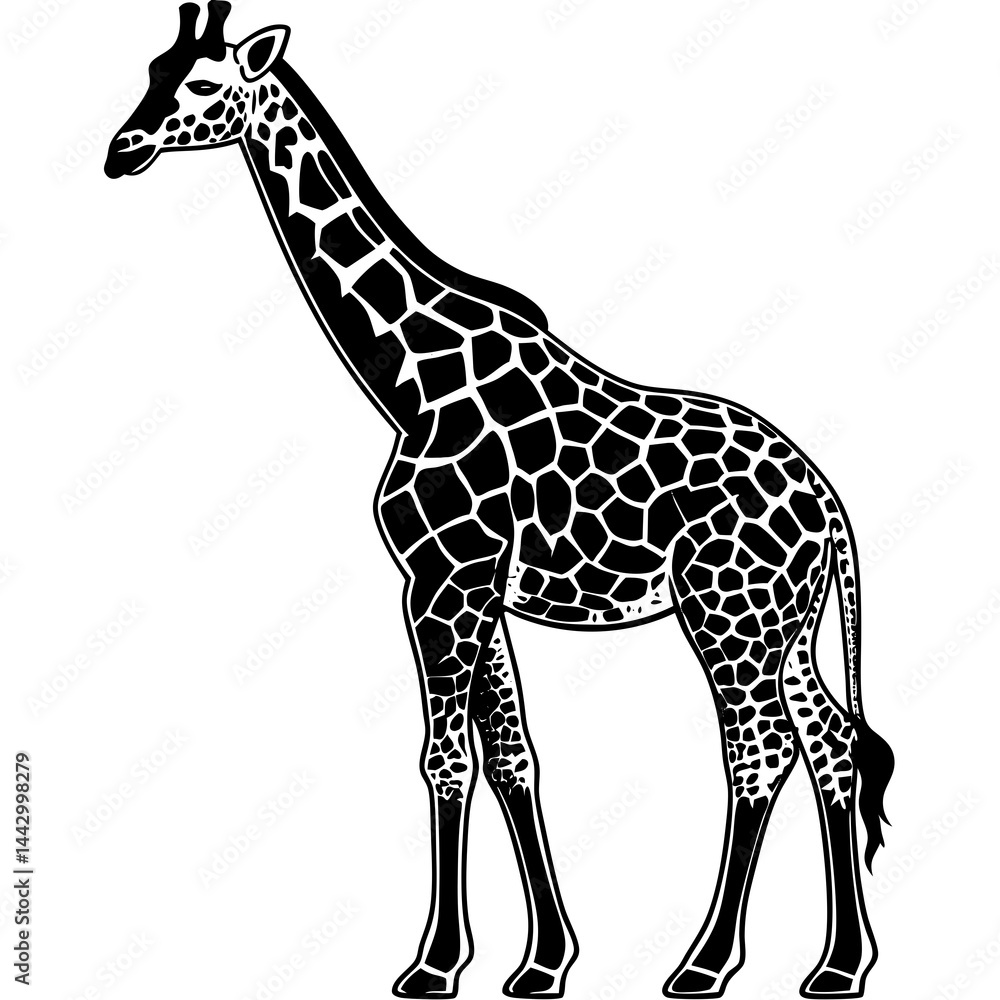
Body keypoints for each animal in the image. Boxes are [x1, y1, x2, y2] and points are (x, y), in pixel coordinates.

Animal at [105, 6, 895, 998]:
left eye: (206, 86)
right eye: (148, 69)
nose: (120, 151)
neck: (409, 380)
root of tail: (829, 505)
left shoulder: (446, 580)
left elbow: (446, 759)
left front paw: (433, 965)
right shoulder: (473, 588)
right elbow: (513, 757)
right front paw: (542, 961)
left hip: (729, 611)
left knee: (759, 754)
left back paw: (705, 964)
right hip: (788, 622)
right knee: (832, 746)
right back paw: (839, 965)